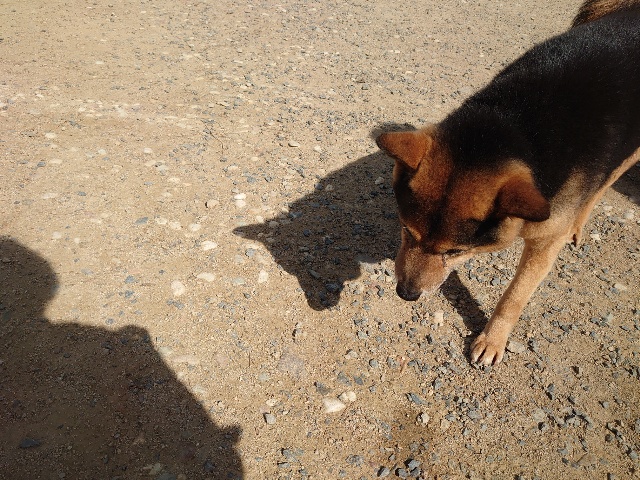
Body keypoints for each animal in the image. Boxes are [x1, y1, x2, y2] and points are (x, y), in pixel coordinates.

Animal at [376, 0, 640, 366]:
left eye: (456, 251)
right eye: (405, 230)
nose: (406, 293)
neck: (517, 126)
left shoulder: (545, 243)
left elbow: (514, 296)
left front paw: (492, 339)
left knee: (602, 184)